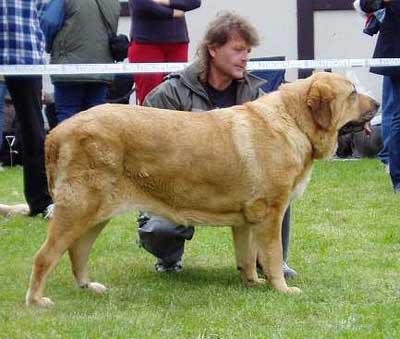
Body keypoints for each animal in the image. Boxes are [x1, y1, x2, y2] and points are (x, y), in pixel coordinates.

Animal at [25, 72, 378, 308]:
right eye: (352, 93)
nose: (376, 103)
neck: (293, 120)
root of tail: (57, 131)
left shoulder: (247, 220)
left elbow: (247, 256)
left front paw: (252, 283)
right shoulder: (271, 213)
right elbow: (274, 255)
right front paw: (281, 288)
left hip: (95, 214)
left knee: (77, 252)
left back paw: (88, 286)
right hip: (78, 209)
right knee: (45, 256)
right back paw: (37, 300)